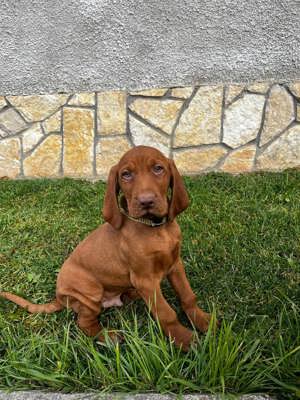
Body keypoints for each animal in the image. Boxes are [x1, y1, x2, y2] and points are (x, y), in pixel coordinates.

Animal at [0, 145, 211, 350]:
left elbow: (187, 296)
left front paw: (204, 321)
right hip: (89, 293)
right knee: (84, 322)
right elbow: (165, 312)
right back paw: (109, 338)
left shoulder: (175, 264)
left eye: (158, 169)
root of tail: (58, 298)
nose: (146, 201)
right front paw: (184, 339)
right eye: (126, 174)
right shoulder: (145, 280)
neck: (155, 228)